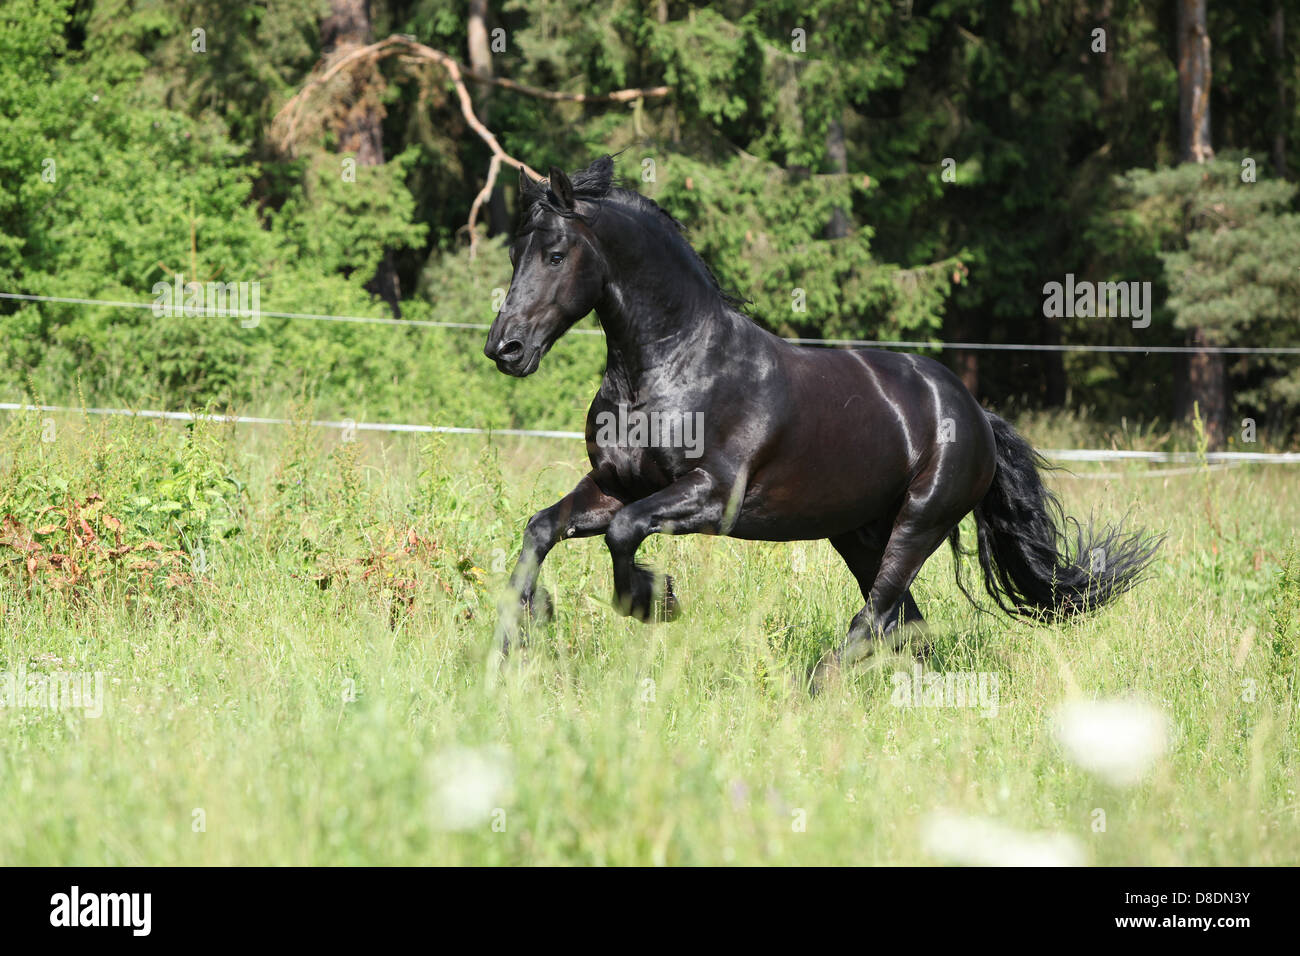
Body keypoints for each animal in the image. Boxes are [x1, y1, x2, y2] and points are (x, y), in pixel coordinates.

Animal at [483, 156, 1161, 684]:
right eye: (516, 253)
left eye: (555, 254)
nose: (505, 349)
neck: (673, 369)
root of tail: (973, 411)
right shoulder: (614, 485)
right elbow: (541, 529)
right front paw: (524, 630)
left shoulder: (711, 496)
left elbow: (624, 533)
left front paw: (656, 601)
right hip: (857, 533)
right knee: (905, 625)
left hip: (918, 523)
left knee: (877, 618)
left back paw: (813, 688)